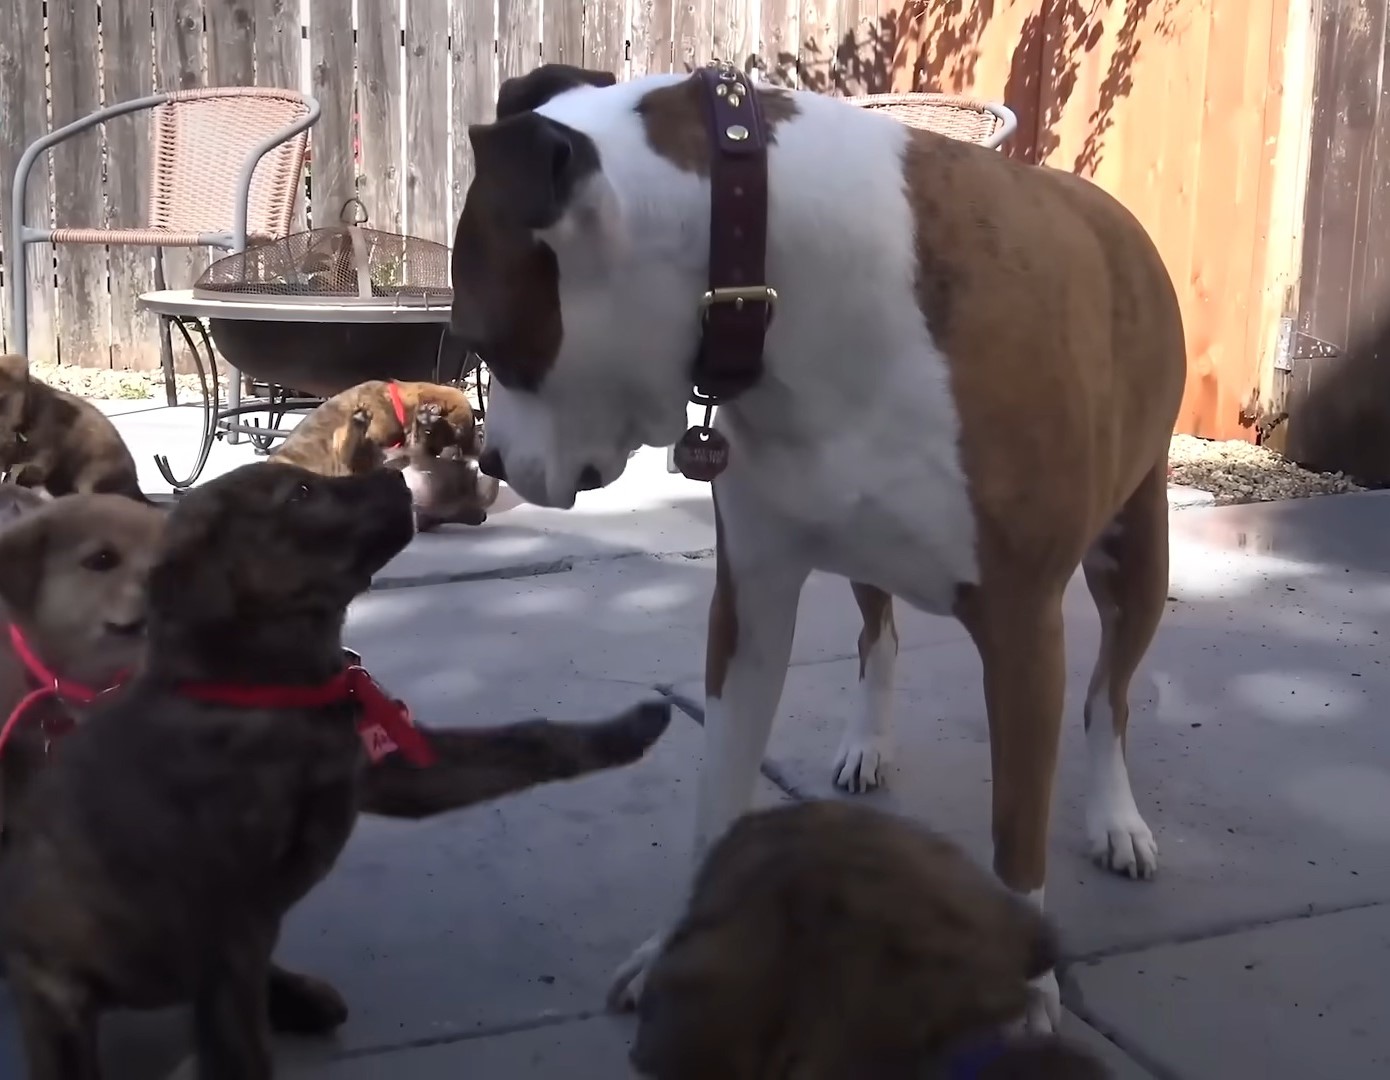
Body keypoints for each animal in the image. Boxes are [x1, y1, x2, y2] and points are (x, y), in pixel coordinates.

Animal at [0, 458, 672, 1073]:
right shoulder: (228, 927)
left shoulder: (392, 772)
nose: (401, 477)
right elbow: (240, 1053)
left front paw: (629, 729)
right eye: (301, 493)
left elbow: (527, 741)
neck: (266, 692)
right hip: (60, 992)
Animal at [450, 61, 1189, 1028]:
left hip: (1134, 554)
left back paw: (1117, 819)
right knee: (880, 634)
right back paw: (867, 744)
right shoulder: (752, 606)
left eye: (483, 342)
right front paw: (679, 944)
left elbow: (1018, 829)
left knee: (1112, 694)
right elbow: (720, 795)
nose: (492, 459)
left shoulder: (1024, 627)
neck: (769, 273)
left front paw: (1028, 992)